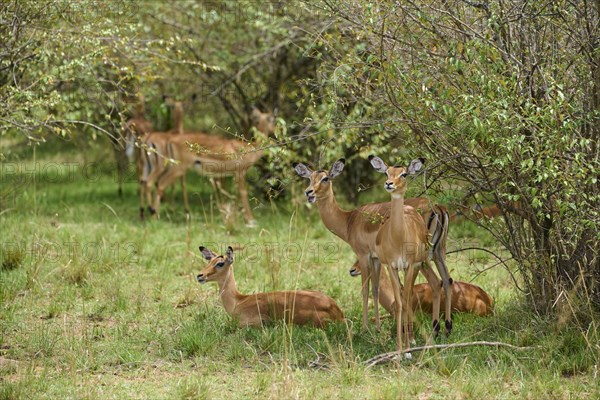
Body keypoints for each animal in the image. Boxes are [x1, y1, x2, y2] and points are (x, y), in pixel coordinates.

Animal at [292, 159, 448, 332]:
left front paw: (365, 328)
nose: (309, 192)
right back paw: (444, 328)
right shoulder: (376, 258)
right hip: (437, 253)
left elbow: (365, 290)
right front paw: (378, 328)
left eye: (325, 178)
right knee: (445, 281)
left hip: (420, 259)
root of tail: (437, 208)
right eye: (309, 178)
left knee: (433, 283)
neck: (349, 220)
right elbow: (375, 289)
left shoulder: (363, 255)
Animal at [370, 155, 450, 352]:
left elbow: (405, 299)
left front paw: (407, 349)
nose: (389, 184)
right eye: (386, 172)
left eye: (404, 174)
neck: (398, 238)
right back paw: (443, 329)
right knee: (443, 280)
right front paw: (400, 349)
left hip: (422, 262)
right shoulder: (391, 267)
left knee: (432, 284)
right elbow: (400, 304)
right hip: (433, 256)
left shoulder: (410, 265)